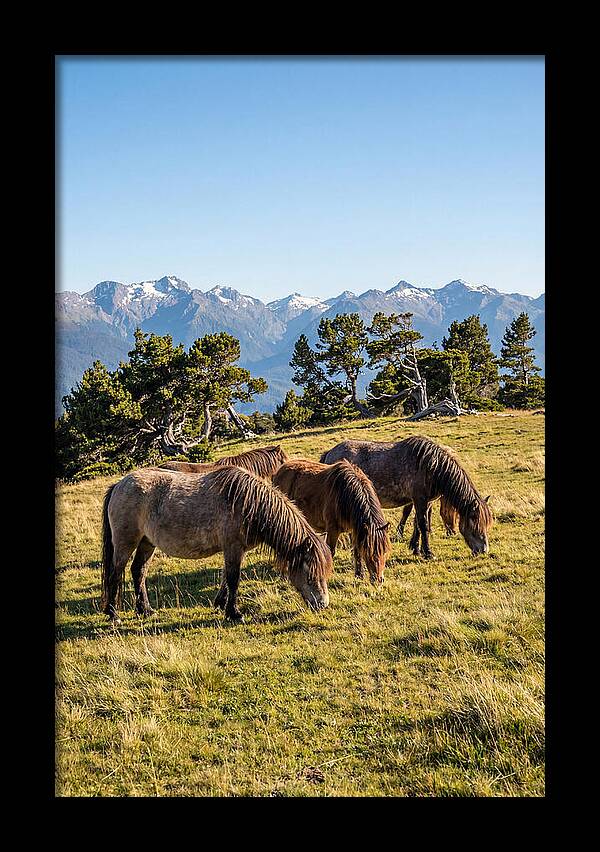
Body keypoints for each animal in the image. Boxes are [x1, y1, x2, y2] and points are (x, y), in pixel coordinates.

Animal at [101, 465, 332, 623]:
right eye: (310, 573)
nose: (322, 604)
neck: (247, 504)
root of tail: (119, 485)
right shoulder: (233, 548)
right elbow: (233, 579)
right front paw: (234, 613)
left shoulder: (235, 550)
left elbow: (225, 577)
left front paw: (221, 604)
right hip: (125, 542)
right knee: (115, 573)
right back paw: (113, 614)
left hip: (147, 543)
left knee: (138, 571)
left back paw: (145, 610)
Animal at [320, 435, 492, 559]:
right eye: (475, 522)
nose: (484, 550)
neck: (431, 465)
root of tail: (330, 453)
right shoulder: (419, 499)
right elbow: (423, 524)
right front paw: (428, 553)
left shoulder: (425, 502)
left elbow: (418, 524)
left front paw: (415, 548)